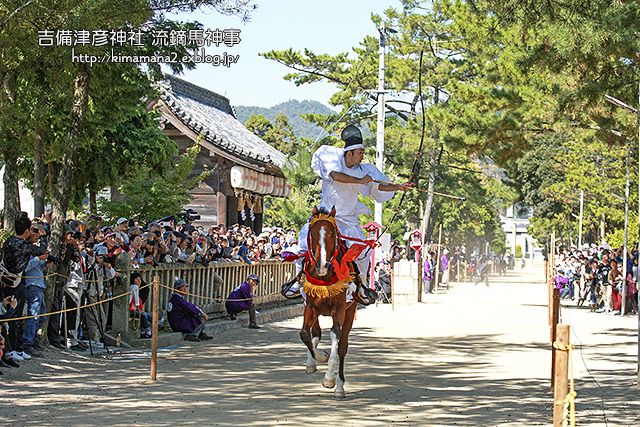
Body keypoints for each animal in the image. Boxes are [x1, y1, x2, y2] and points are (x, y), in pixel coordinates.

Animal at [302, 206, 360, 400]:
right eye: (312, 234)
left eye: (332, 234)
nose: (322, 266)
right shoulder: (310, 306)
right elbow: (305, 335)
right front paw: (320, 357)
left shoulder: (340, 309)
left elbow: (336, 336)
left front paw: (329, 378)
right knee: (315, 333)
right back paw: (311, 362)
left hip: (350, 311)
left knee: (342, 345)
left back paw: (339, 385)